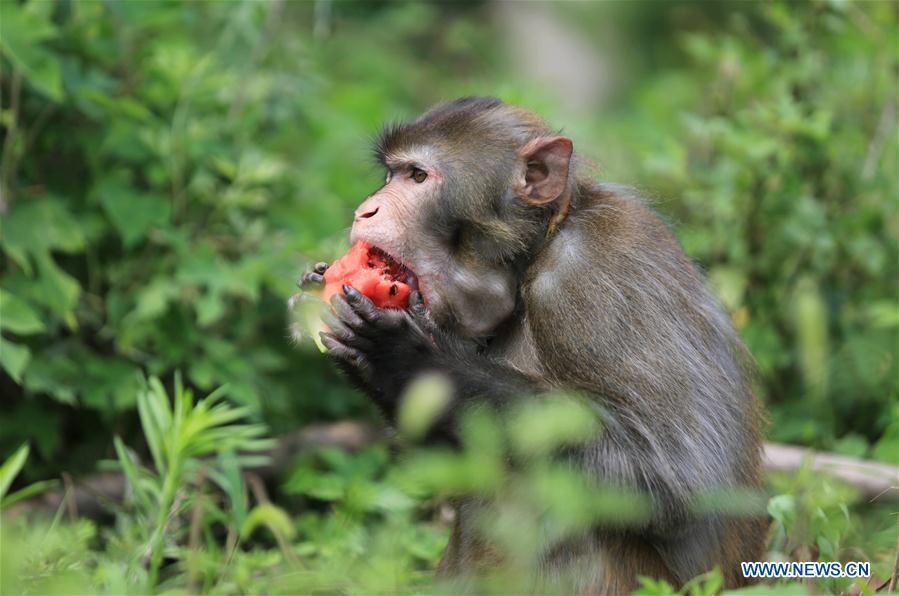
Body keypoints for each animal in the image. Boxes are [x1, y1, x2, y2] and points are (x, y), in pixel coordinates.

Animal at [300, 96, 768, 592]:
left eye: (418, 176)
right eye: (390, 174)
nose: (366, 210)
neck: (535, 255)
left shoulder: (598, 274)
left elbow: (680, 473)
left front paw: (406, 356)